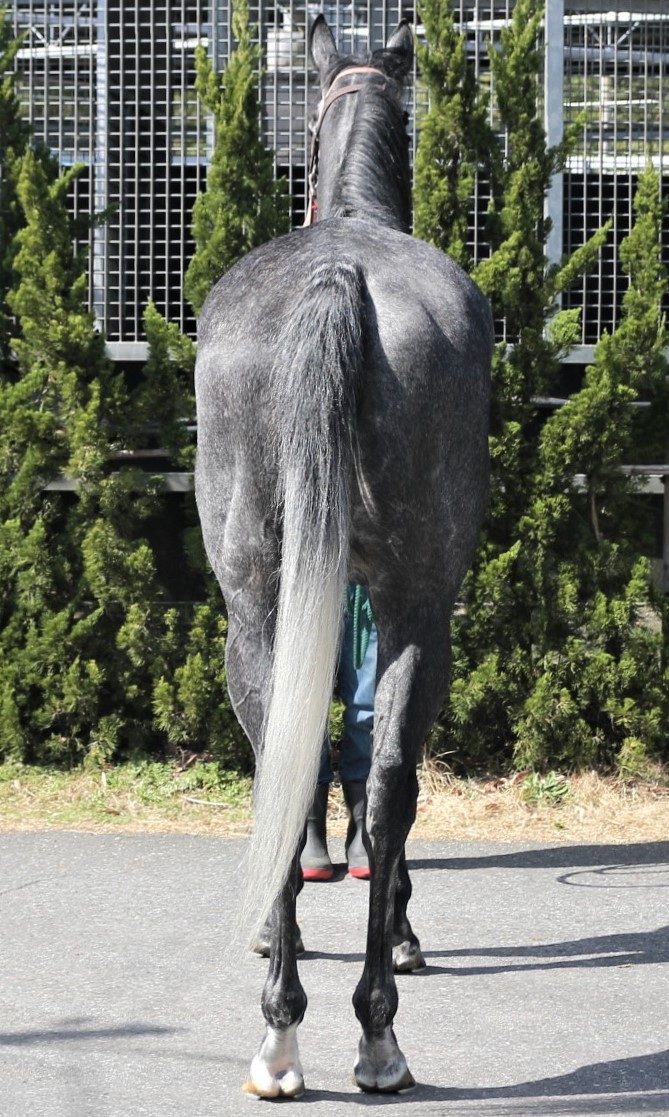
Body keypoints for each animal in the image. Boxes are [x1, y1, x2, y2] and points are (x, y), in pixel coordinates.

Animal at [194, 15, 492, 1097]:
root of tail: (339, 279)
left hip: (269, 607)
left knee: (310, 760)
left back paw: (293, 1031)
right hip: (409, 606)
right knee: (386, 777)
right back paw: (366, 1028)